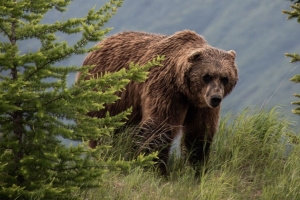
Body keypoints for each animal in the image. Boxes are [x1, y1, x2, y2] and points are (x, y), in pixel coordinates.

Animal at [77, 29, 239, 173]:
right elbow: (159, 127)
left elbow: (198, 133)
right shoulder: (165, 90)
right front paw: (156, 168)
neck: (185, 91)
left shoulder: (200, 106)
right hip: (106, 97)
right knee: (104, 132)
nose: (215, 98)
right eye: (206, 76)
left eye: (225, 78)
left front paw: (196, 167)